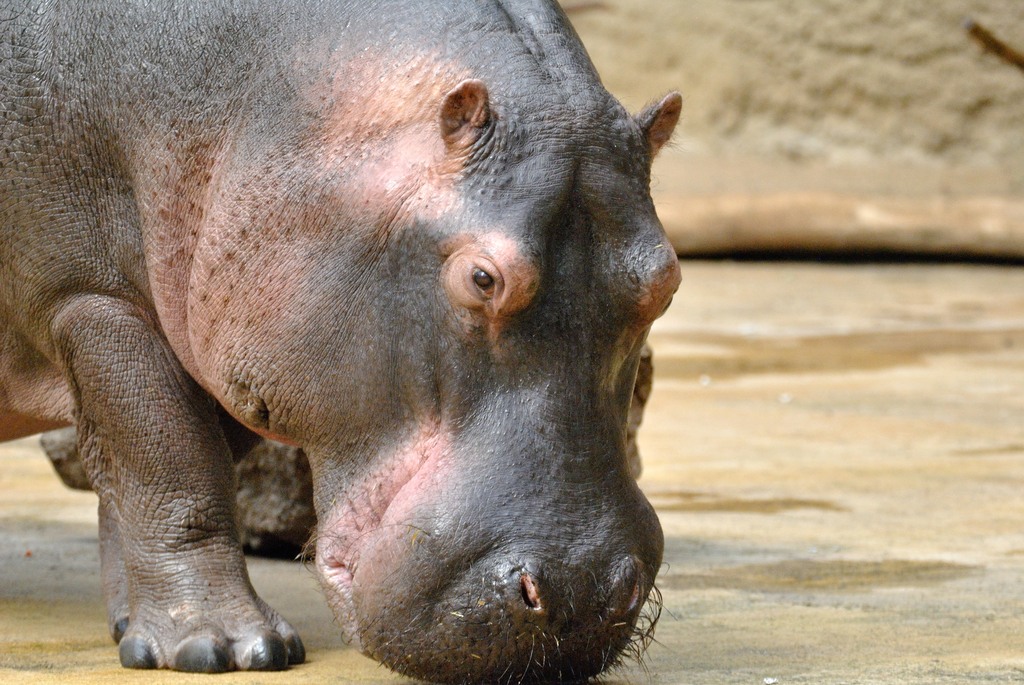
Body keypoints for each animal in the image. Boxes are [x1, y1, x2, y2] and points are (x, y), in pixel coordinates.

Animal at [0, 0, 682, 681]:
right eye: (483, 277)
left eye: (667, 281)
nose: (579, 594)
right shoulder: (93, 299)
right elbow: (170, 466)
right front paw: (220, 647)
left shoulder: (222, 340)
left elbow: (141, 480)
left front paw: (135, 629)